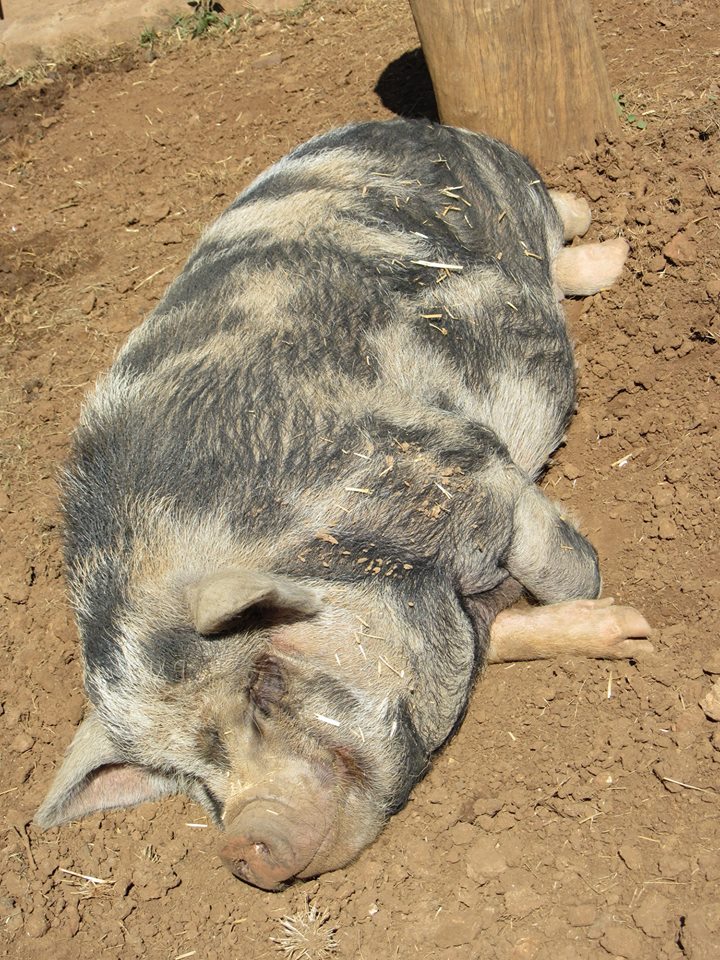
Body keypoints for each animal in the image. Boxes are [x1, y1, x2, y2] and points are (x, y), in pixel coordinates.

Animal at [36, 119, 651, 890]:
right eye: (193, 777)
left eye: (263, 684)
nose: (244, 842)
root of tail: (407, 125)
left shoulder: (471, 467)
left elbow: (564, 570)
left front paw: (635, 631)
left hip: (519, 194)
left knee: (563, 226)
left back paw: (611, 248)